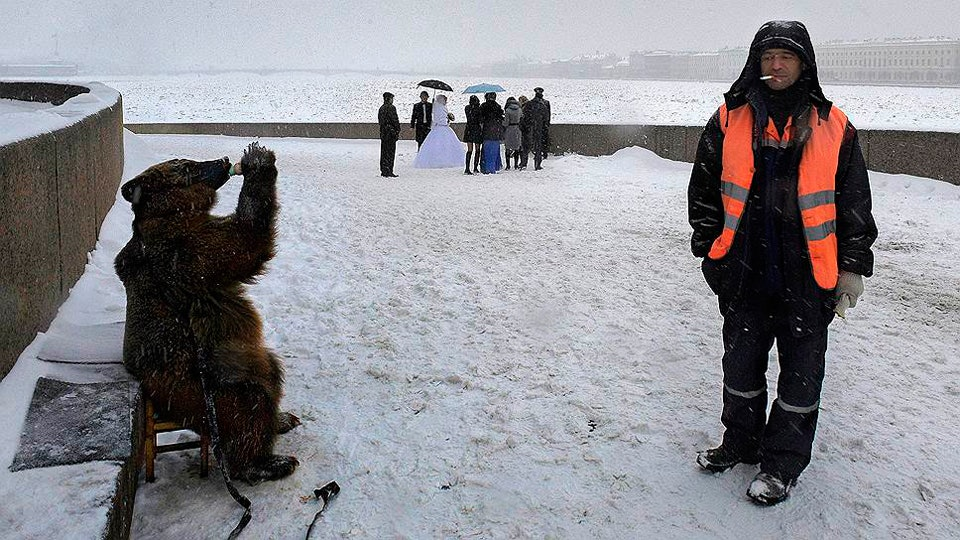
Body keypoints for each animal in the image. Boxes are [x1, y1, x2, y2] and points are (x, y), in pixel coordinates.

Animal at [118, 141, 302, 484]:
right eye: (186, 166)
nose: (224, 159)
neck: (173, 212)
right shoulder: (186, 251)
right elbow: (242, 241)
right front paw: (258, 161)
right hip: (203, 392)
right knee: (250, 407)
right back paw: (267, 462)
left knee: (270, 372)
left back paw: (282, 419)